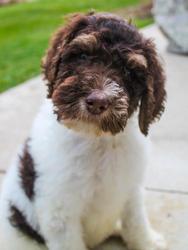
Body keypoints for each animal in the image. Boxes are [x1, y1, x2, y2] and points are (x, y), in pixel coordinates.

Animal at [0, 12, 166, 250]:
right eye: (82, 55)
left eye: (129, 71)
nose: (97, 102)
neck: (97, 140)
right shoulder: (59, 214)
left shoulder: (131, 189)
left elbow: (136, 222)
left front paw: (148, 242)